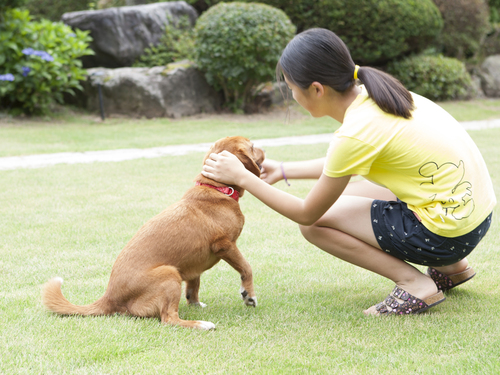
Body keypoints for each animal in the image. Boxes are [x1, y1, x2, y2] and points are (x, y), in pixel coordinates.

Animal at [42, 137, 266, 330]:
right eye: (253, 146)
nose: (265, 149)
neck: (217, 189)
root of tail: (109, 297)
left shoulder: (194, 265)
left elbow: (193, 286)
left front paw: (195, 303)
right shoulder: (225, 245)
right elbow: (246, 268)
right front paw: (249, 295)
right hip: (170, 274)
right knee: (169, 318)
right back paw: (200, 324)